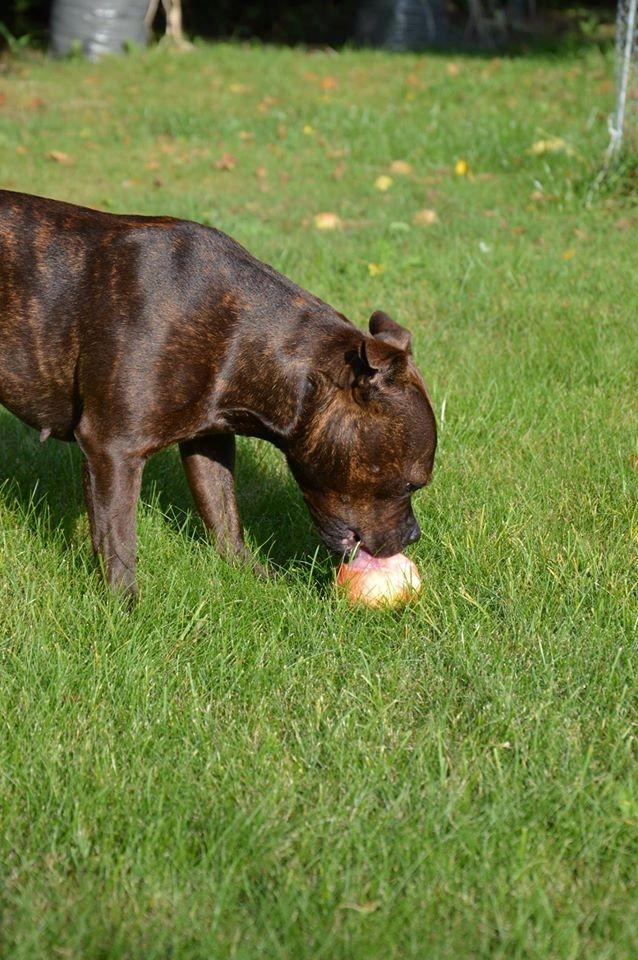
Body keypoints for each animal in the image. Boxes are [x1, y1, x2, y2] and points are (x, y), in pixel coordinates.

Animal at [0, 188, 438, 596]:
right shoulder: (112, 450)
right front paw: (123, 606)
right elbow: (118, 540)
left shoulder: (208, 441)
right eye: (410, 485)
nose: (414, 534)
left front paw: (252, 575)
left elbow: (224, 514)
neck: (245, 336)